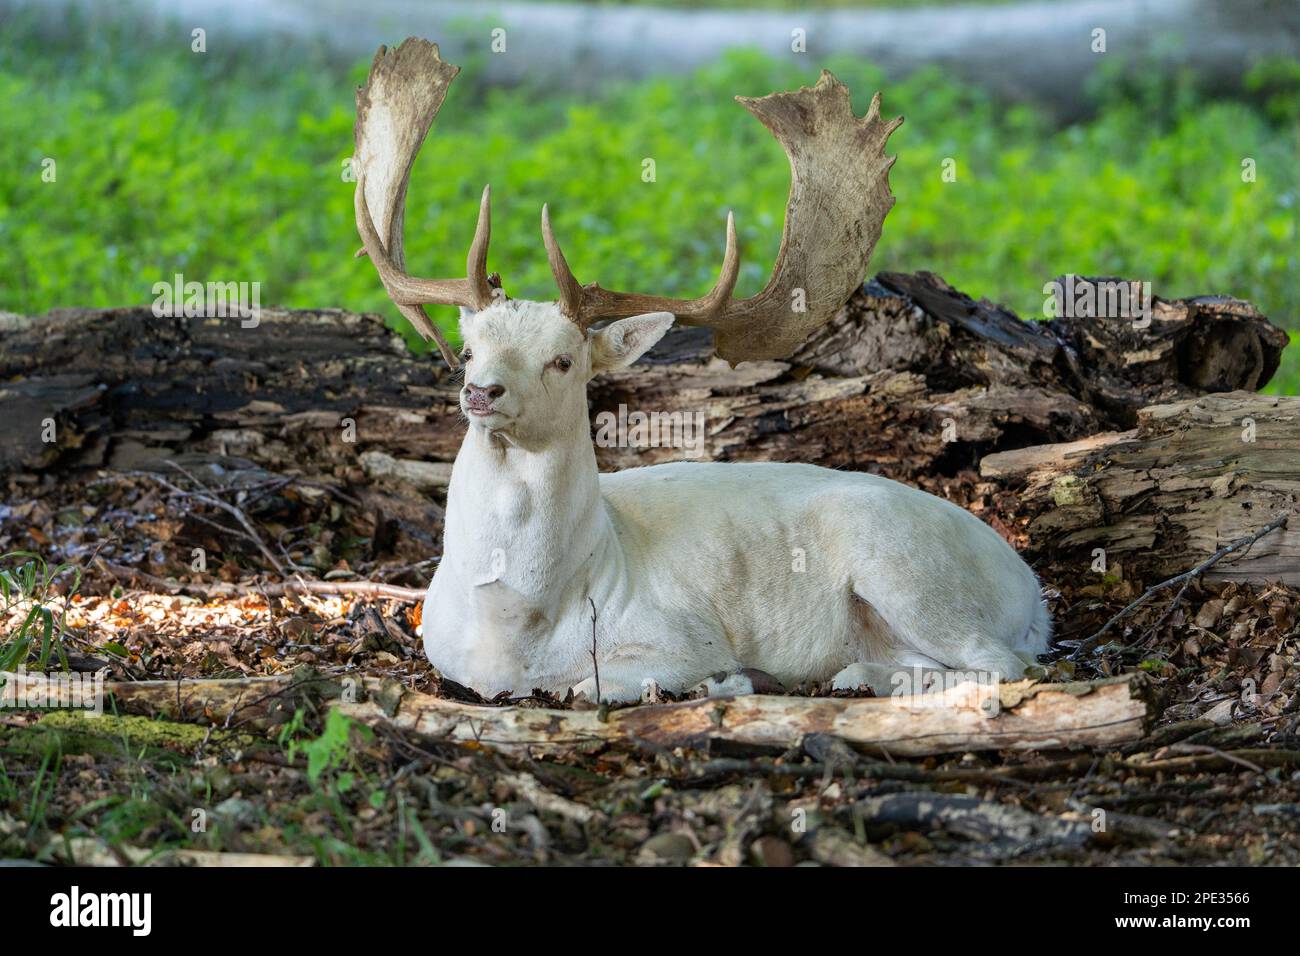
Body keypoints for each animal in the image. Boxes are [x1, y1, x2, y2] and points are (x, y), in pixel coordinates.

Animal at [351, 39, 1050, 702]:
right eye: (469, 350)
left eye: (563, 359)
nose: (481, 391)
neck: (513, 635)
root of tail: (1031, 589)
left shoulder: (683, 637)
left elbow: (589, 685)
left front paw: (727, 681)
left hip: (908, 571)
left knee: (1005, 663)